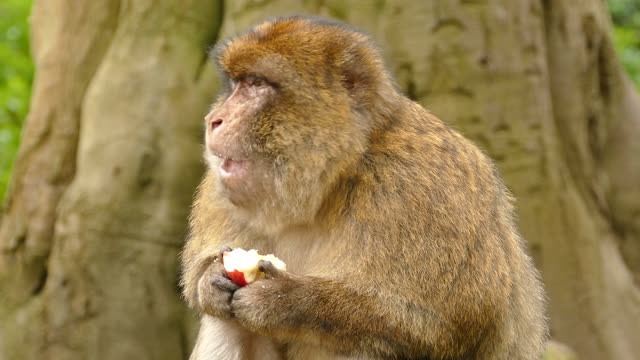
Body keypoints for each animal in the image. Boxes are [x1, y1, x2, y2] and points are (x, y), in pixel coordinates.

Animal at [179, 14, 544, 360]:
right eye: (236, 84)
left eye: (256, 83)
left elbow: (446, 325)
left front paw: (284, 300)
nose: (213, 120)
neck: (335, 179)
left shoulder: (425, 190)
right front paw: (211, 280)